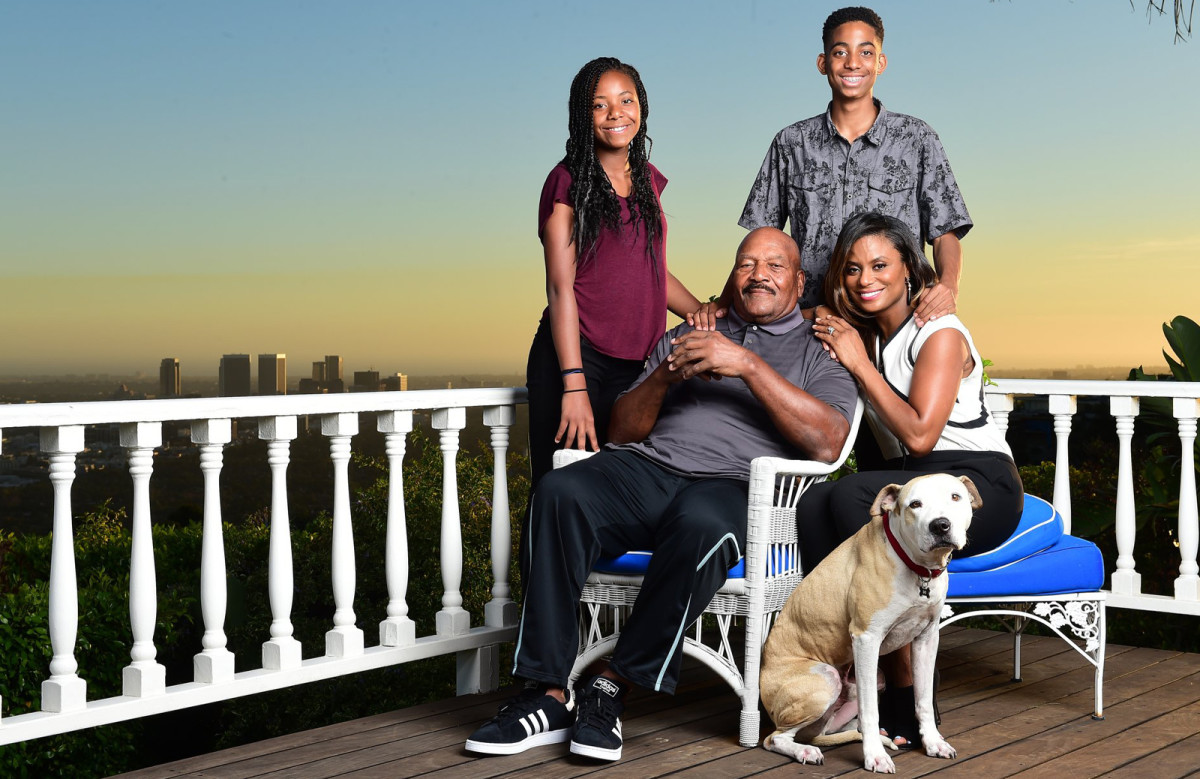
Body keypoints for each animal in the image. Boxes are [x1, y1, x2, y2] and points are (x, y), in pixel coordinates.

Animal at [763, 470, 979, 768]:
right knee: (775, 738)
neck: (917, 568)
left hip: (868, 684)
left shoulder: (926, 638)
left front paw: (934, 743)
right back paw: (805, 751)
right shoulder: (867, 639)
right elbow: (870, 712)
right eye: (915, 505)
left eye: (955, 497)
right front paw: (875, 756)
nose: (940, 526)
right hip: (825, 679)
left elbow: (922, 699)